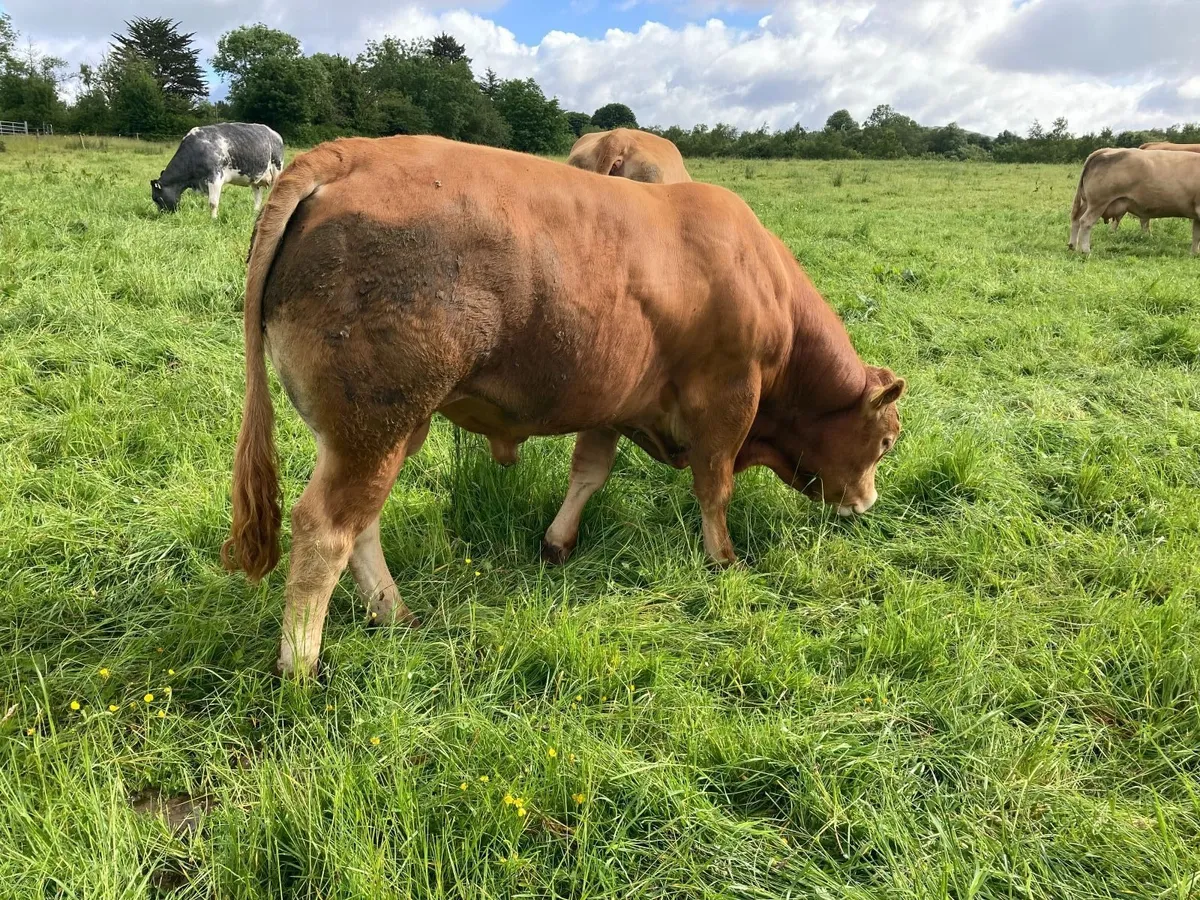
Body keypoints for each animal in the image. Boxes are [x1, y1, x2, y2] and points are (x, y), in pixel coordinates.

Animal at [152, 123, 284, 219]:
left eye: (156, 198)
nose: (161, 215)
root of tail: (275, 133)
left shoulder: (215, 177)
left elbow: (213, 202)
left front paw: (213, 219)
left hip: (277, 168)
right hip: (256, 179)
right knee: (258, 197)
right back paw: (255, 212)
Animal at [220, 136, 906, 676]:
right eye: (887, 440)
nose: (867, 504)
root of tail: (348, 154)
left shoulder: (614, 403)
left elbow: (589, 474)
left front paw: (557, 543)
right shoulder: (728, 401)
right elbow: (715, 490)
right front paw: (724, 560)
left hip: (378, 430)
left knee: (363, 524)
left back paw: (395, 613)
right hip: (374, 425)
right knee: (326, 530)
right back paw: (301, 665)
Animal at [1069, 148, 1200, 254]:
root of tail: (1106, 150)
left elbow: (1196, 235)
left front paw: (1194, 254)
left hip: (1087, 202)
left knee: (1076, 219)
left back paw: (1072, 246)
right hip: (1098, 203)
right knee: (1085, 222)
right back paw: (1085, 250)